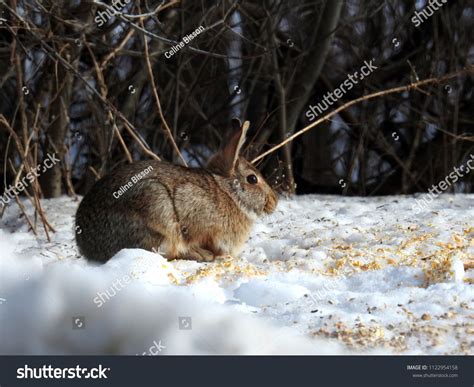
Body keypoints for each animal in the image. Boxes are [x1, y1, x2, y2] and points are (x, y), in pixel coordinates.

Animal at [75, 121, 278, 266]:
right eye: (252, 179)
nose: (274, 202)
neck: (228, 192)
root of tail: (89, 247)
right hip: (155, 210)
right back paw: (202, 255)